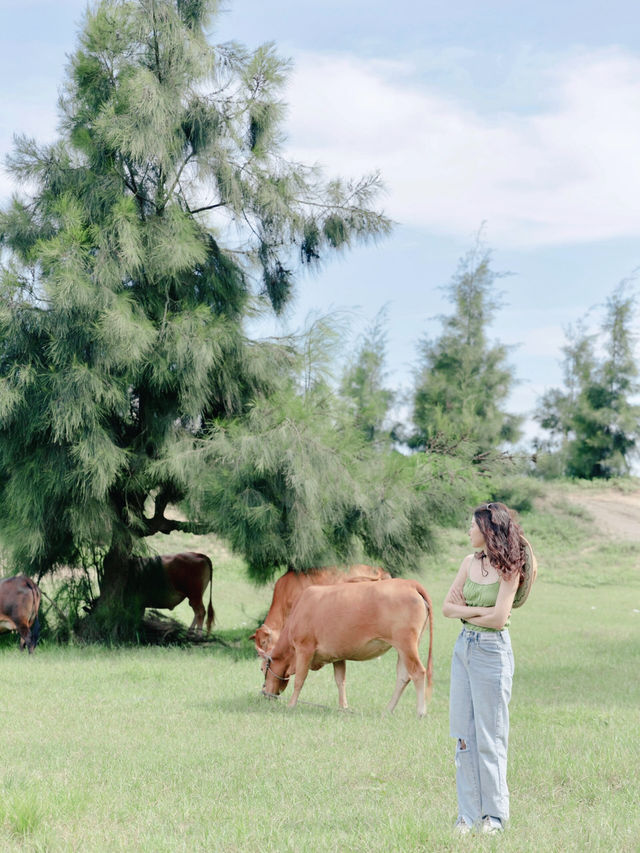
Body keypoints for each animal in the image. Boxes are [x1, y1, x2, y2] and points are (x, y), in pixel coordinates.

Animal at [260, 576, 436, 716]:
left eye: (262, 669)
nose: (264, 693)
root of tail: (409, 583)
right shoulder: (337, 655)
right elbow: (340, 680)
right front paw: (343, 707)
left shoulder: (304, 648)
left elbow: (300, 680)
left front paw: (291, 704)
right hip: (405, 647)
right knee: (403, 676)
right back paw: (388, 710)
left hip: (406, 644)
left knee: (418, 672)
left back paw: (421, 711)